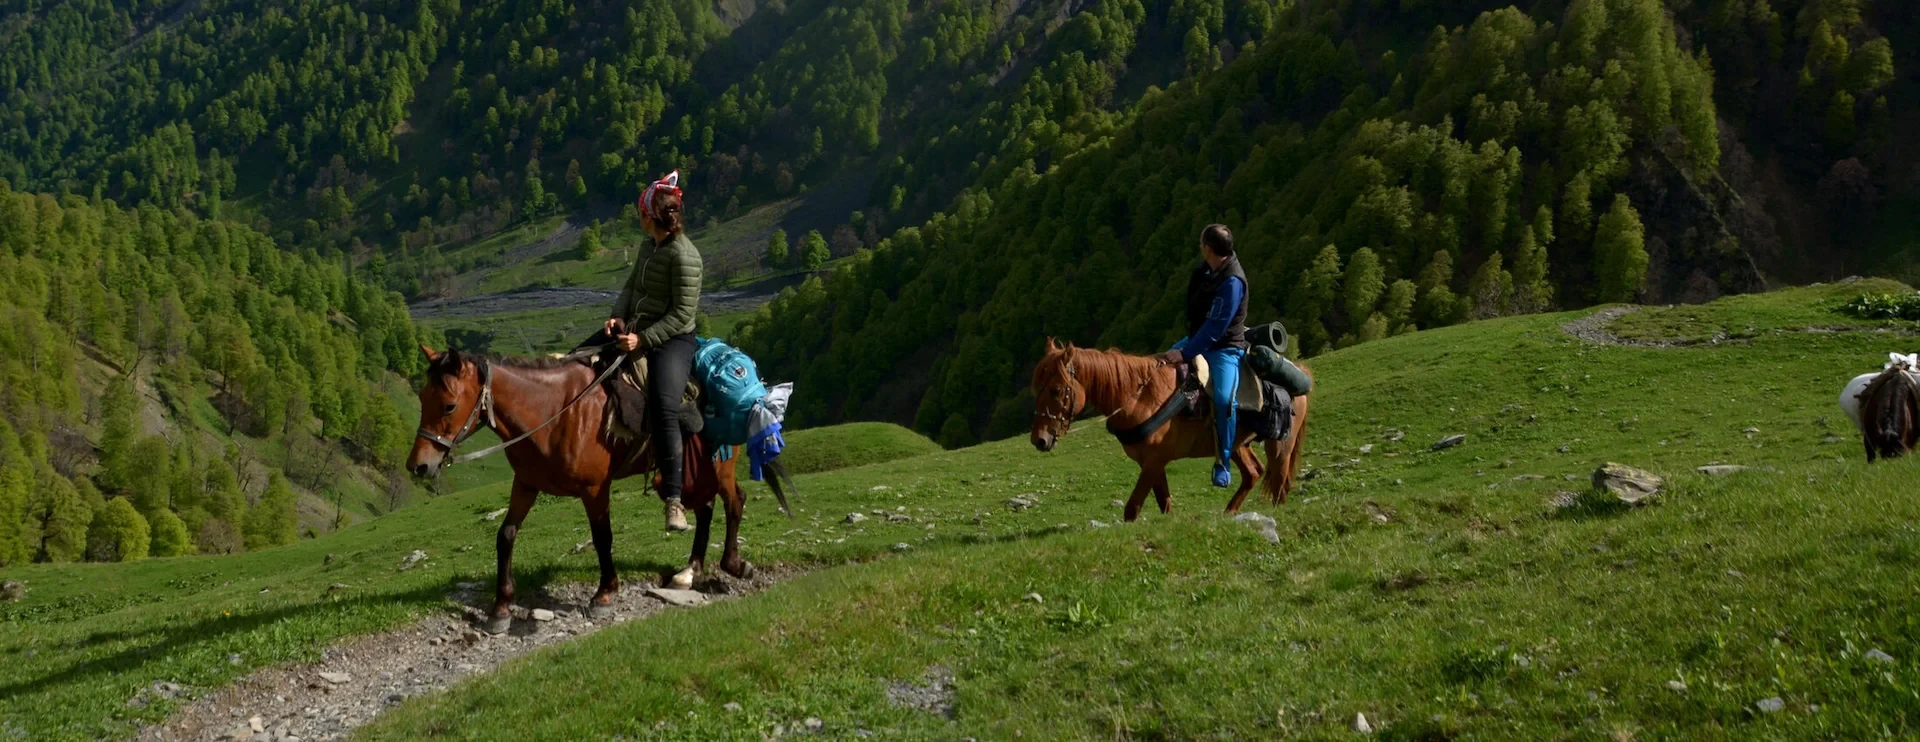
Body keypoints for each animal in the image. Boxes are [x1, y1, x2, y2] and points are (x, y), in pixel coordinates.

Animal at [407, 346, 748, 630]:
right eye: (422, 399)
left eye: (449, 406)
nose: (418, 466)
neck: (554, 414)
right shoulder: (526, 485)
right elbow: (506, 536)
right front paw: (500, 608)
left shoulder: (594, 489)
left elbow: (602, 537)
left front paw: (605, 594)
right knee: (705, 509)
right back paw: (690, 571)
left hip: (720, 467)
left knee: (734, 501)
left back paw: (733, 564)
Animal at [1029, 338, 1313, 522]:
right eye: (1036, 388)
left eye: (1056, 390)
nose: (1039, 440)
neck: (1140, 397)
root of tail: (1301, 371)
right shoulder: (1153, 463)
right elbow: (1164, 503)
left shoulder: (1153, 462)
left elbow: (1132, 509)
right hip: (1236, 444)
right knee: (1253, 473)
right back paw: (1229, 512)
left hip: (1280, 446)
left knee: (1278, 482)